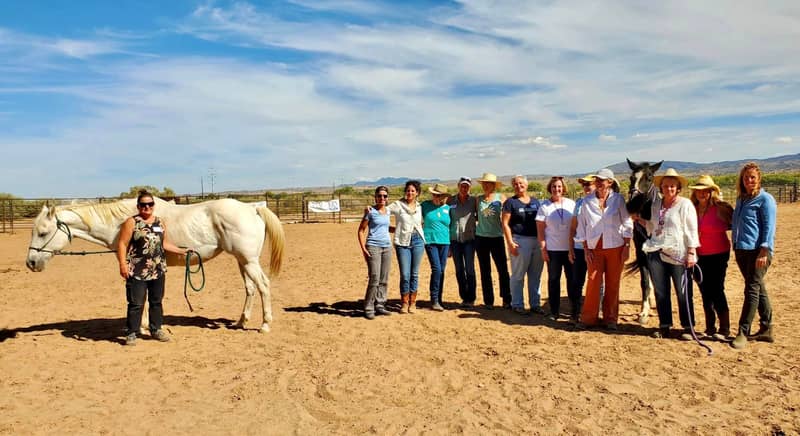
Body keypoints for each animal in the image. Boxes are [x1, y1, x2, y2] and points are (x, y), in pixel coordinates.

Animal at [25, 198, 284, 334]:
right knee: (251, 289)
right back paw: (241, 322)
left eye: (43, 232)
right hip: (242, 261)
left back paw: (264, 325)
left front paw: (141, 327)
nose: (31, 263)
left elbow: (141, 297)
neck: (122, 223)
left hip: (249, 261)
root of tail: (252, 207)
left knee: (263, 286)